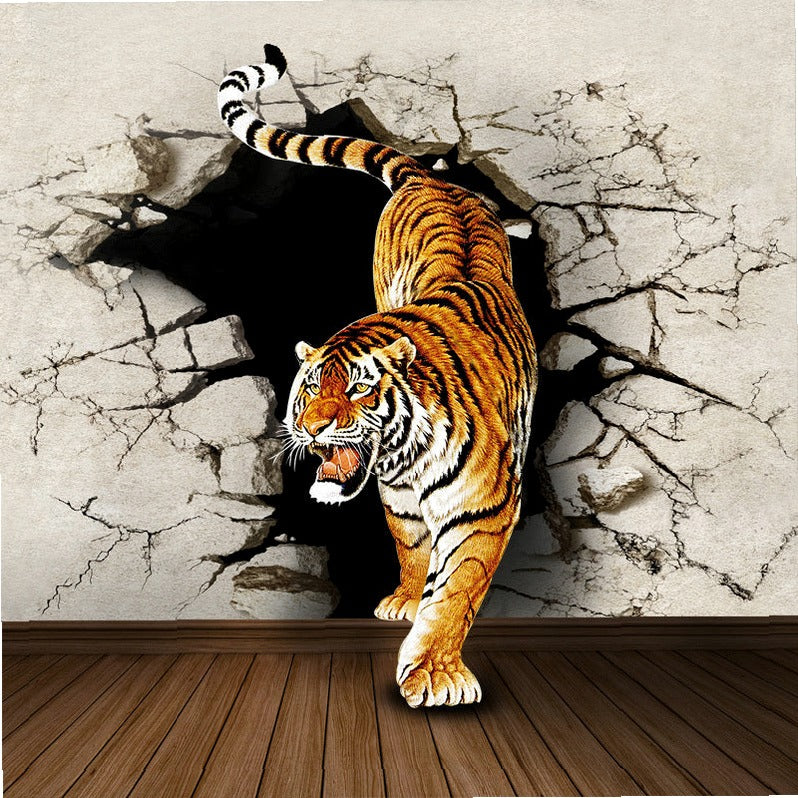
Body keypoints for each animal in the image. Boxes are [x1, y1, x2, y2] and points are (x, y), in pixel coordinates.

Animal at [218, 45, 537, 707]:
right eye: (310, 390)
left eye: (360, 388)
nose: (312, 430)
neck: (405, 457)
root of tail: (430, 177)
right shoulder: (398, 498)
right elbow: (412, 549)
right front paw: (407, 602)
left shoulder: (486, 507)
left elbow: (458, 589)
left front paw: (435, 673)